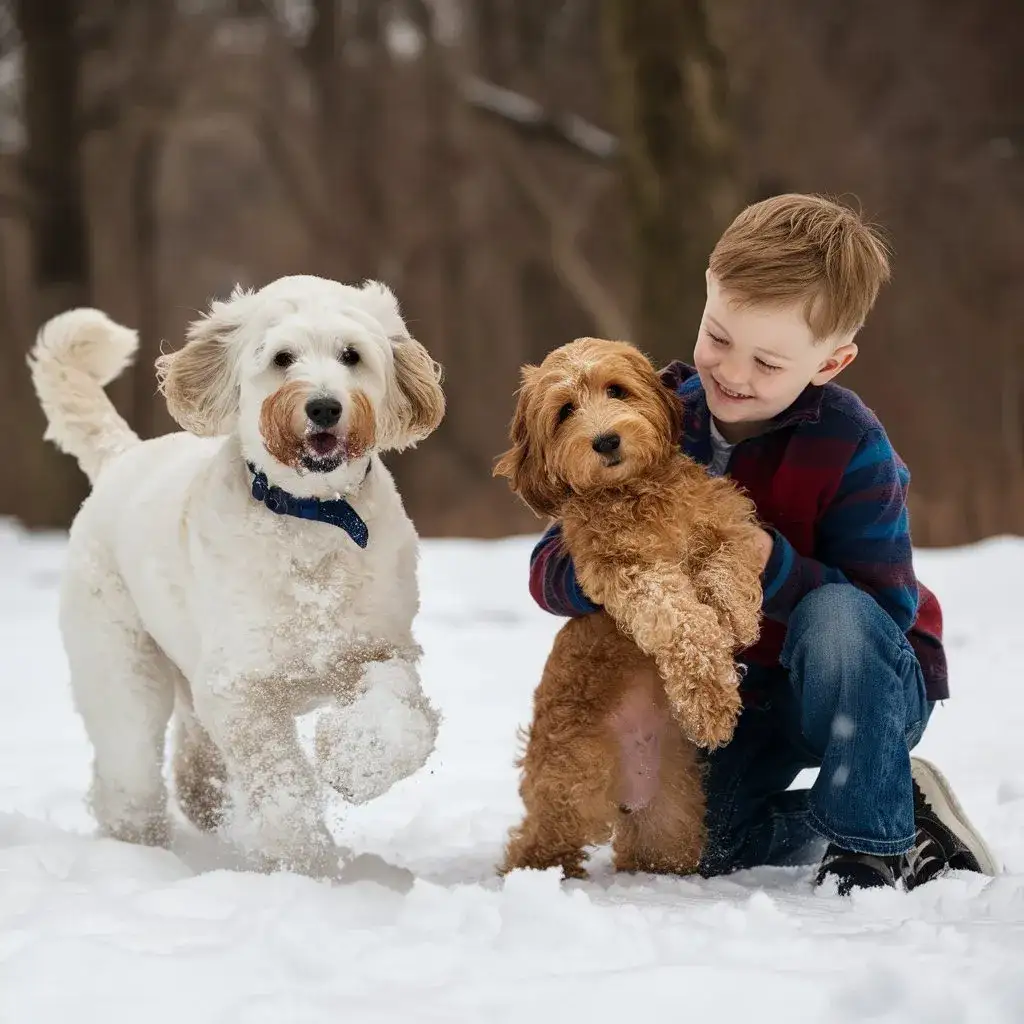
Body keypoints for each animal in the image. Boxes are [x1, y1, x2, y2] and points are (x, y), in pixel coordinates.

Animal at [29, 276, 446, 876]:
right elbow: (280, 781)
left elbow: (401, 720)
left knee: (192, 766)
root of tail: (121, 458)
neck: (310, 516)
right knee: (128, 770)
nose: (324, 406)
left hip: (186, 679)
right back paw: (139, 848)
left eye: (352, 355)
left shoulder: (380, 649)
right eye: (282, 358)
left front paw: (353, 763)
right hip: (123, 672)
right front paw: (304, 862)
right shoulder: (240, 688)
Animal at [491, 337, 765, 880]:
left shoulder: (728, 523)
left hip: (671, 818)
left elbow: (728, 566)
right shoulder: (626, 573)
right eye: (565, 411)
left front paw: (735, 617)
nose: (605, 441)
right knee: (537, 842)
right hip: (568, 780)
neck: (635, 493)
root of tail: (628, 795)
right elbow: (682, 621)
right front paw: (711, 703)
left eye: (616, 390)